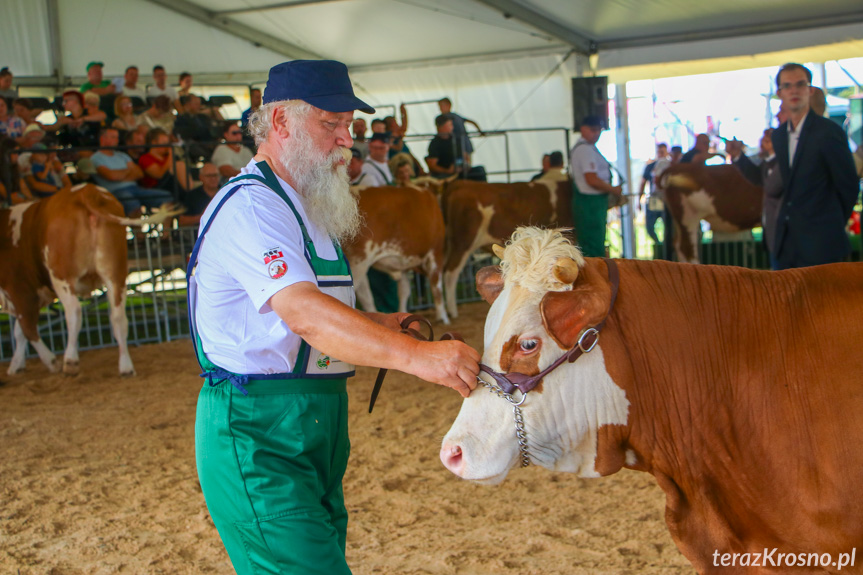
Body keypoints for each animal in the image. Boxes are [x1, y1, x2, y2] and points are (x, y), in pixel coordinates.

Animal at [0, 184, 179, 378]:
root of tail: (87, 191)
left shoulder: (20, 290)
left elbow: (26, 329)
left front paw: (51, 361)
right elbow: (19, 331)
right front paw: (16, 365)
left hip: (62, 276)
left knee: (74, 312)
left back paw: (70, 360)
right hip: (115, 274)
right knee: (119, 318)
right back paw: (126, 366)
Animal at [344, 188, 452, 326]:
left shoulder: (404, 265)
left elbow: (404, 291)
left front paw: (404, 312)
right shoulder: (435, 253)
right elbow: (437, 287)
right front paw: (443, 317)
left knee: (365, 295)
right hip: (359, 261)